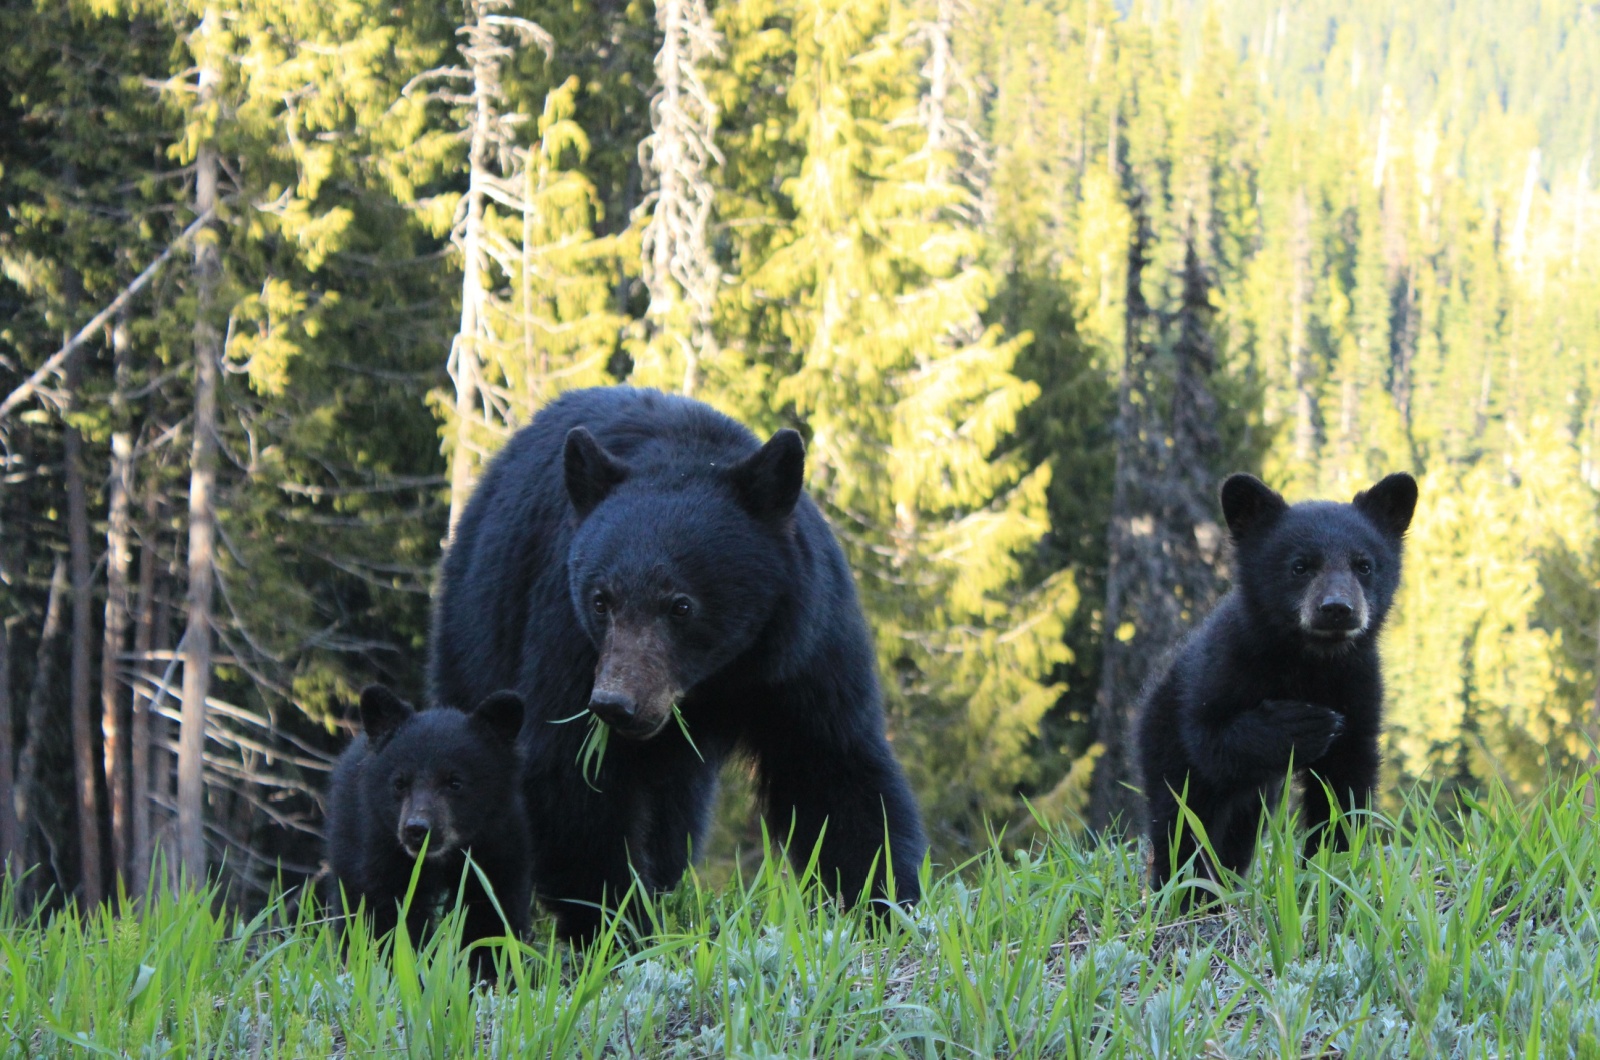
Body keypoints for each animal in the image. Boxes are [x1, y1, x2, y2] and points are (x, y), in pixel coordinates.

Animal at [324, 685, 531, 973]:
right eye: (400, 783)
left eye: (455, 782)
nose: (417, 829)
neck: (443, 858)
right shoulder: (382, 847)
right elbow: (387, 914)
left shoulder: (496, 845)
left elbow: (491, 914)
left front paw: (488, 972)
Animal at [428, 385, 928, 941]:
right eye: (600, 600)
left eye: (681, 605)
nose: (615, 703)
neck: (721, 675)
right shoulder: (567, 635)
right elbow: (572, 772)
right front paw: (621, 924)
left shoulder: (806, 645)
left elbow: (831, 764)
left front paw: (886, 904)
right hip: (478, 632)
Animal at [1132, 470, 1420, 890]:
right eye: (1300, 566)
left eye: (1364, 565)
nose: (1337, 608)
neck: (1310, 659)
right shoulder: (1224, 667)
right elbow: (1209, 737)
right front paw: (1303, 723)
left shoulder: (1358, 682)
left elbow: (1345, 789)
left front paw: (1330, 871)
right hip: (1164, 746)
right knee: (1179, 827)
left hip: (1252, 800)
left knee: (1233, 841)